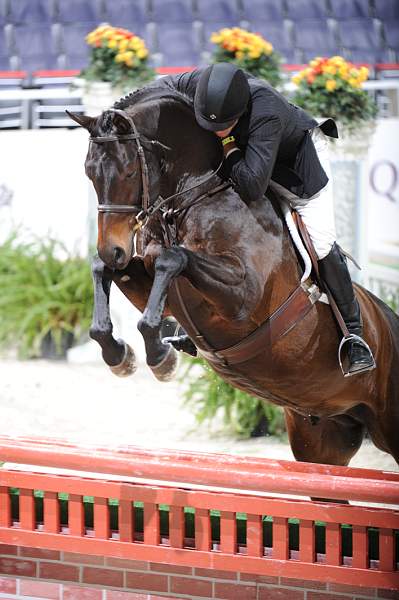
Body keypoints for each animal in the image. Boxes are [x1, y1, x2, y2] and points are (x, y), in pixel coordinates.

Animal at [68, 85, 399, 468]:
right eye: (89, 173)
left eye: (127, 173)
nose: (114, 248)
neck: (194, 194)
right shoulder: (146, 274)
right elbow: (105, 268)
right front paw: (119, 354)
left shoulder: (243, 297)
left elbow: (172, 258)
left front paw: (160, 357)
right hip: (322, 437)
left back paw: (357, 351)